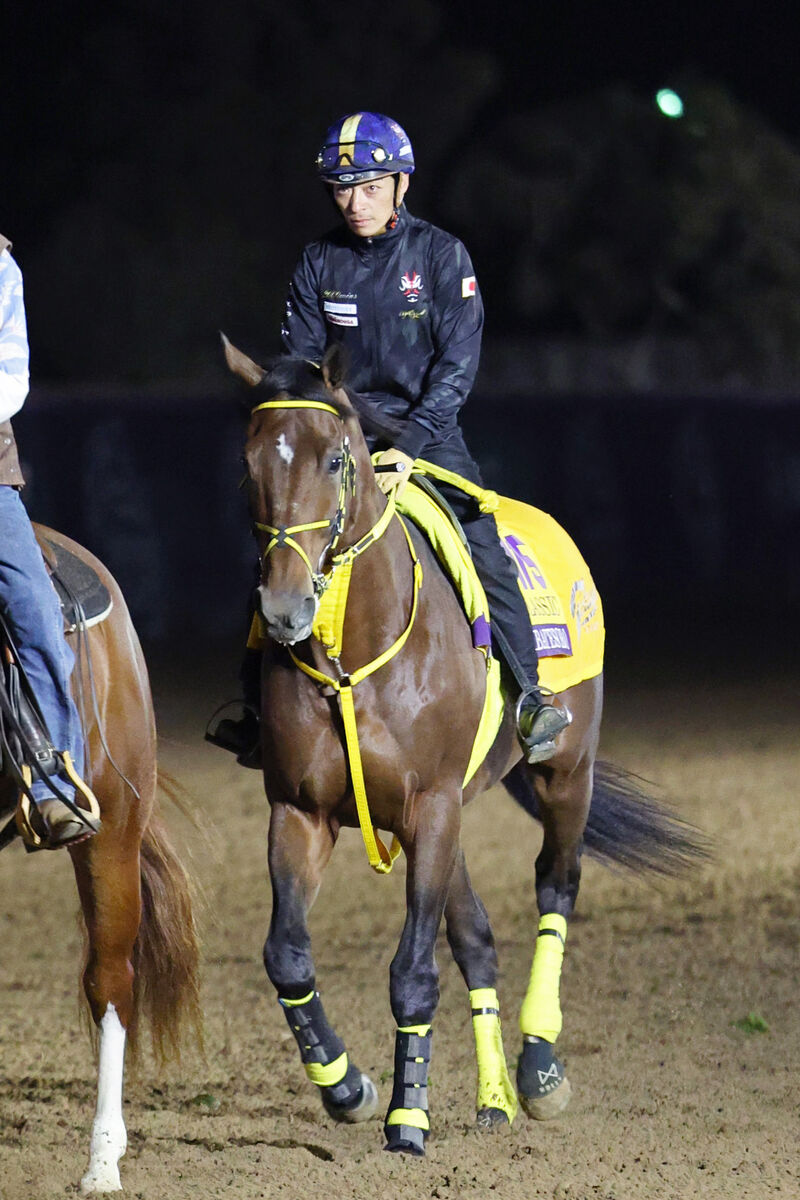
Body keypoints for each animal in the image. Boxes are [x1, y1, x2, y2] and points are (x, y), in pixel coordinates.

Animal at [221, 336, 705, 1152]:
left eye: (334, 458)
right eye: (250, 461)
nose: (284, 608)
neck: (355, 656)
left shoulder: (434, 805)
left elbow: (413, 971)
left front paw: (407, 1118)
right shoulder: (300, 811)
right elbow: (287, 955)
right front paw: (347, 1087)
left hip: (565, 775)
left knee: (556, 886)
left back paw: (537, 1070)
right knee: (476, 935)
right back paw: (494, 1099)